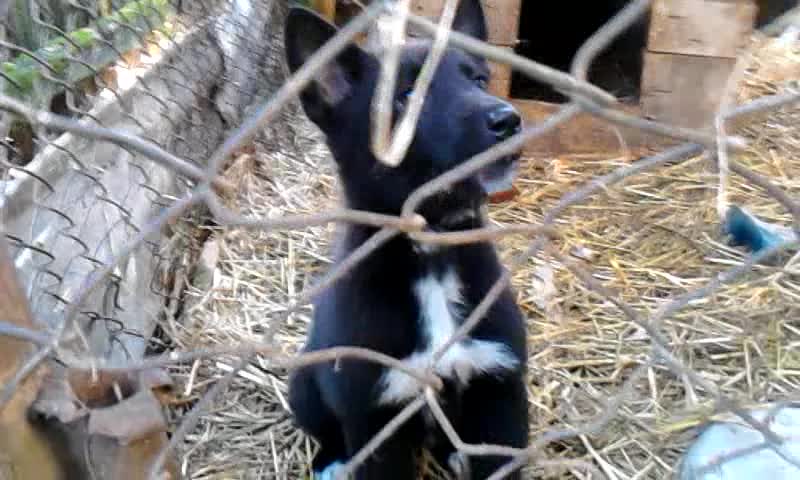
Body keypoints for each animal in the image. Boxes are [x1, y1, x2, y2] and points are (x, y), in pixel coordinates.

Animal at [284, 1, 528, 478]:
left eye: (478, 79)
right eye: (405, 96)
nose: (508, 120)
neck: (430, 254)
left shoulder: (500, 388)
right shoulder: (376, 419)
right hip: (303, 385)